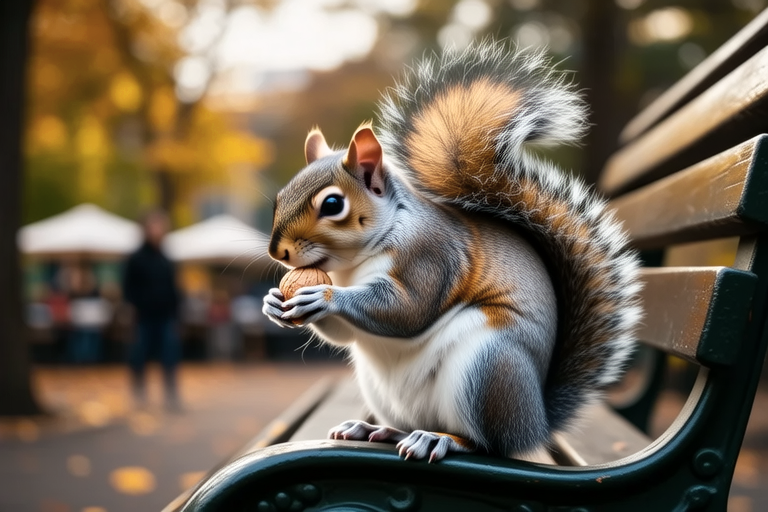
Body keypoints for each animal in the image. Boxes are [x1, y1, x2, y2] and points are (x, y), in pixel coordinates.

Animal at [262, 40, 642, 462]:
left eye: (332, 205)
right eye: (279, 197)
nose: (277, 252)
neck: (352, 267)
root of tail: (535, 424)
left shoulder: (430, 257)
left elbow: (408, 310)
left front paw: (324, 297)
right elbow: (344, 335)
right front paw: (273, 302)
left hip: (488, 367)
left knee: (486, 443)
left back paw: (439, 439)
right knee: (409, 425)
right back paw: (374, 429)